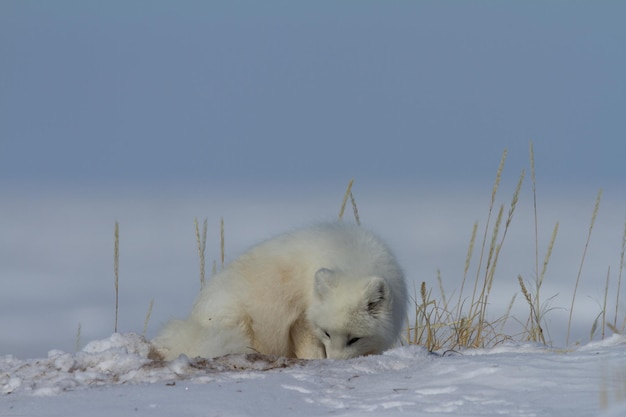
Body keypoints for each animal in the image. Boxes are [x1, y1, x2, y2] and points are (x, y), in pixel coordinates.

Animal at [154, 221, 408, 360]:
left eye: (355, 339)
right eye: (326, 334)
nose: (334, 363)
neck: (354, 262)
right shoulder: (301, 319)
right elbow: (309, 350)